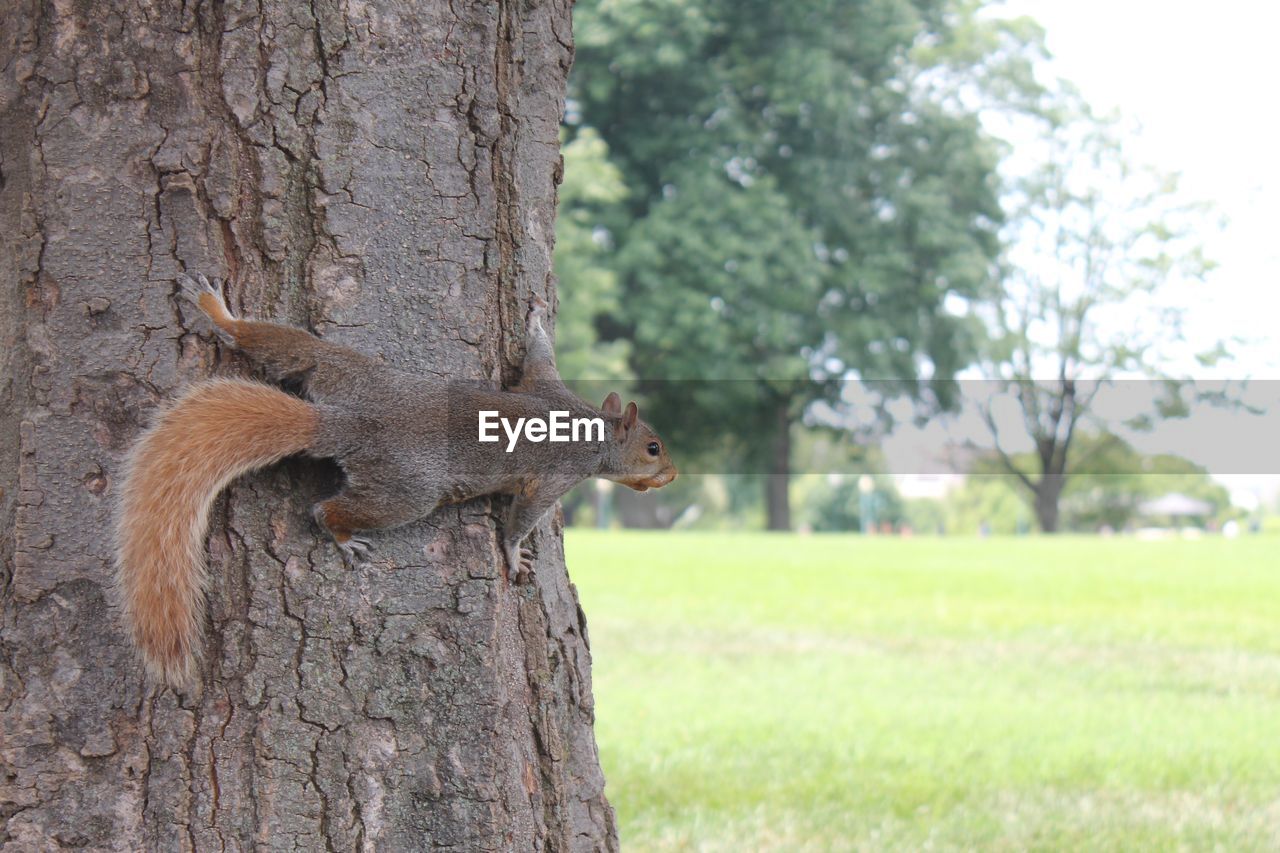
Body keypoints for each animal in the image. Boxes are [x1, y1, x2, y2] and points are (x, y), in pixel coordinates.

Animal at [117, 272, 680, 686]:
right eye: (653, 447)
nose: (674, 474)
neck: (592, 429)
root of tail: (342, 423)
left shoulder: (545, 386)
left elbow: (536, 357)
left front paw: (536, 312)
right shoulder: (555, 474)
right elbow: (522, 516)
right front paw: (514, 555)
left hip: (343, 370)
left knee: (292, 347)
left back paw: (218, 314)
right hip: (408, 492)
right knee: (326, 509)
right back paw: (342, 535)